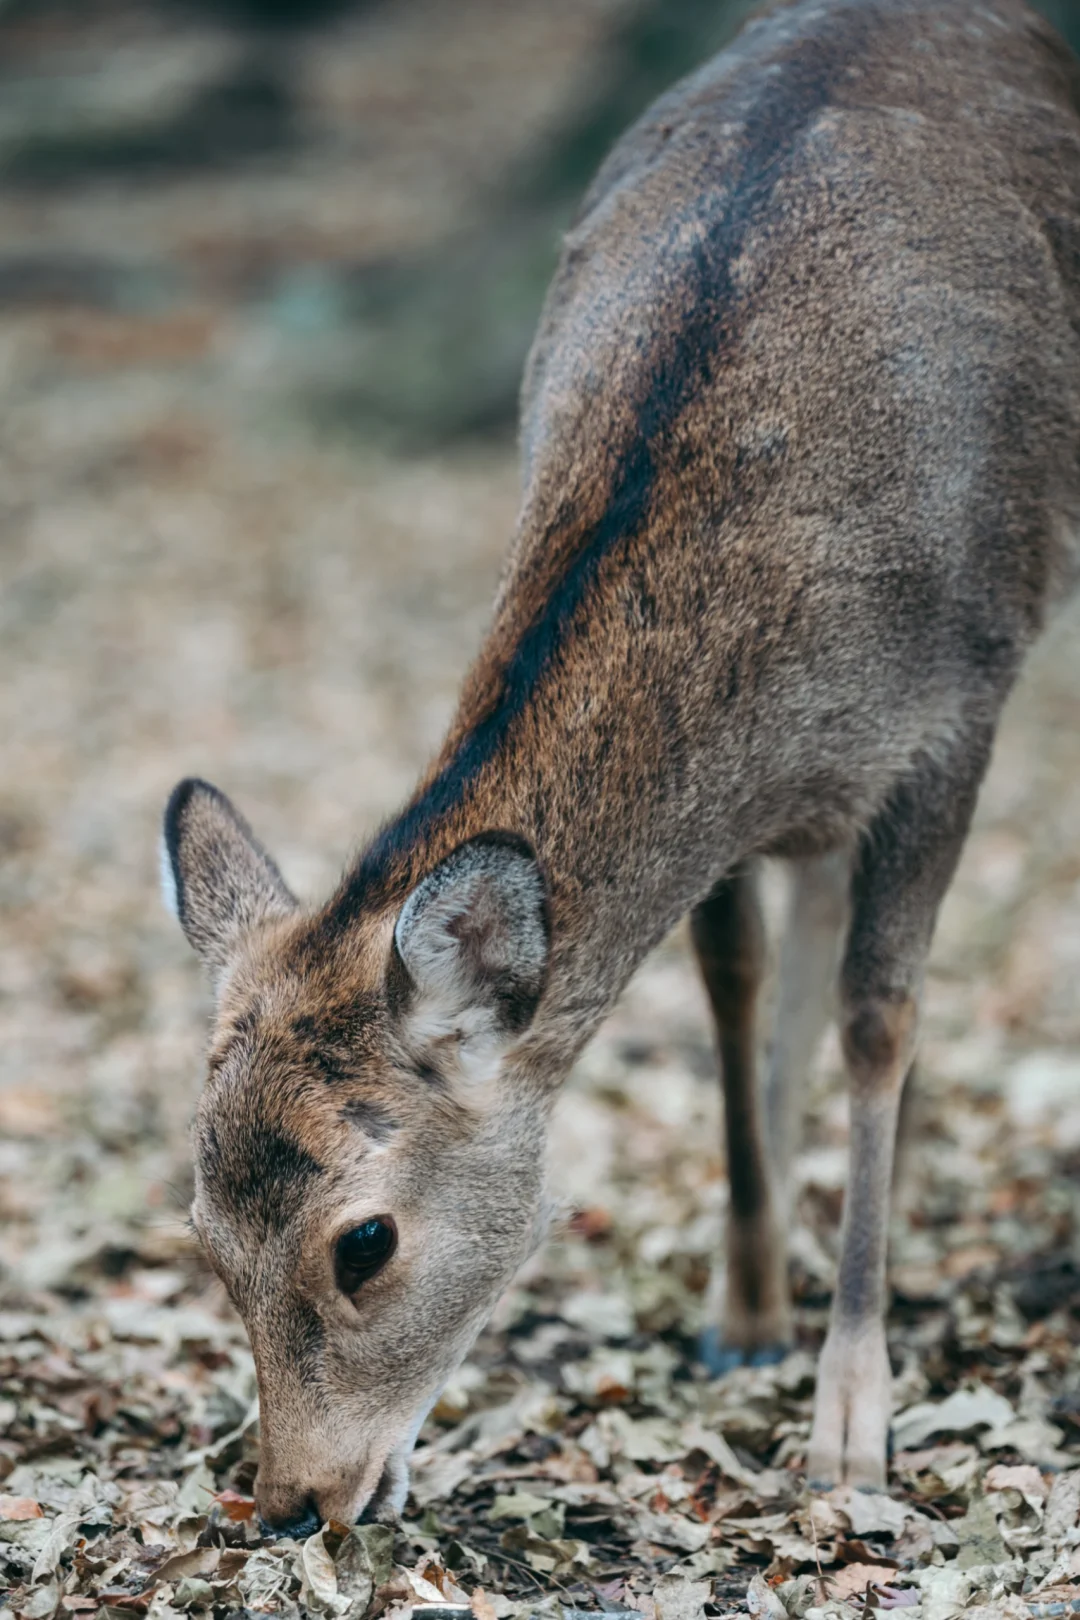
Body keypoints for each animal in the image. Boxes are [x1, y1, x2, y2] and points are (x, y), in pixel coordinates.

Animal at [162, 0, 1080, 1529]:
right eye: (201, 1229)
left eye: (364, 1242)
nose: (289, 1498)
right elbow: (734, 985)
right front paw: (746, 1307)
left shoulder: (963, 701)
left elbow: (880, 1016)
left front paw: (850, 1421)